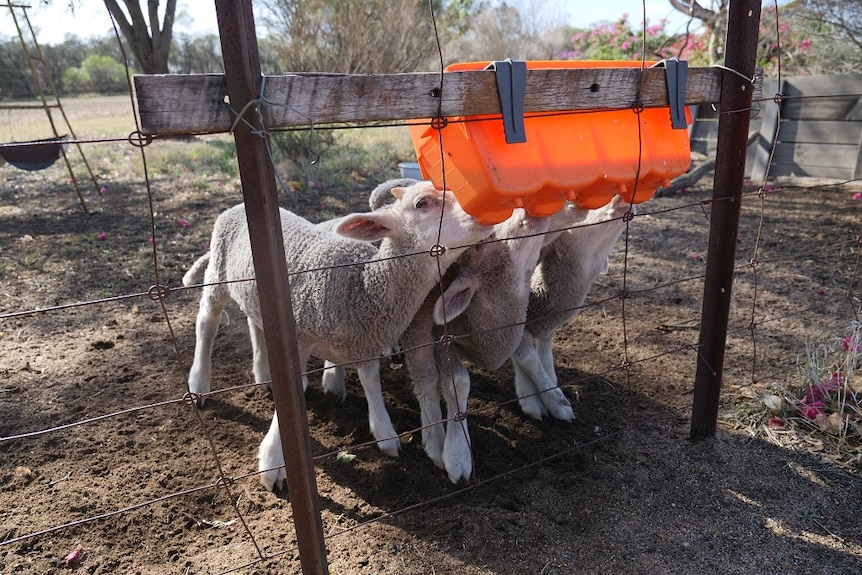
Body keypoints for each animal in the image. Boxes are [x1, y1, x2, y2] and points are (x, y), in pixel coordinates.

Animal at [184, 181, 492, 490]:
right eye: (421, 203)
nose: (485, 211)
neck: (362, 284)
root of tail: (234, 206)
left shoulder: (364, 338)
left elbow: (370, 380)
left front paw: (385, 433)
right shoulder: (299, 334)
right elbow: (295, 392)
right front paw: (272, 462)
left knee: (254, 322)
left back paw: (262, 373)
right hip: (218, 275)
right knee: (206, 322)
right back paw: (199, 383)